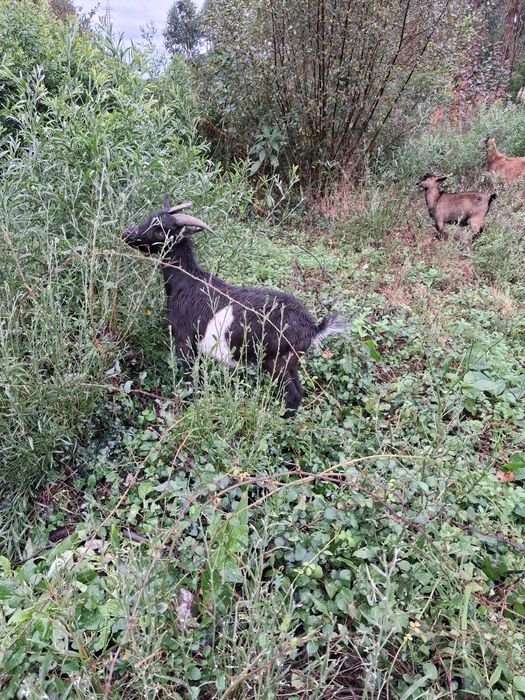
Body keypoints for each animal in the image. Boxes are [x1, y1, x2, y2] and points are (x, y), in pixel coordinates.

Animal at [123, 197, 344, 416]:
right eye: (148, 218)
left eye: (161, 232)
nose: (127, 234)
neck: (186, 281)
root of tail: (312, 328)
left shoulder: (184, 341)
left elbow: (189, 379)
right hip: (292, 363)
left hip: (277, 361)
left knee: (292, 395)